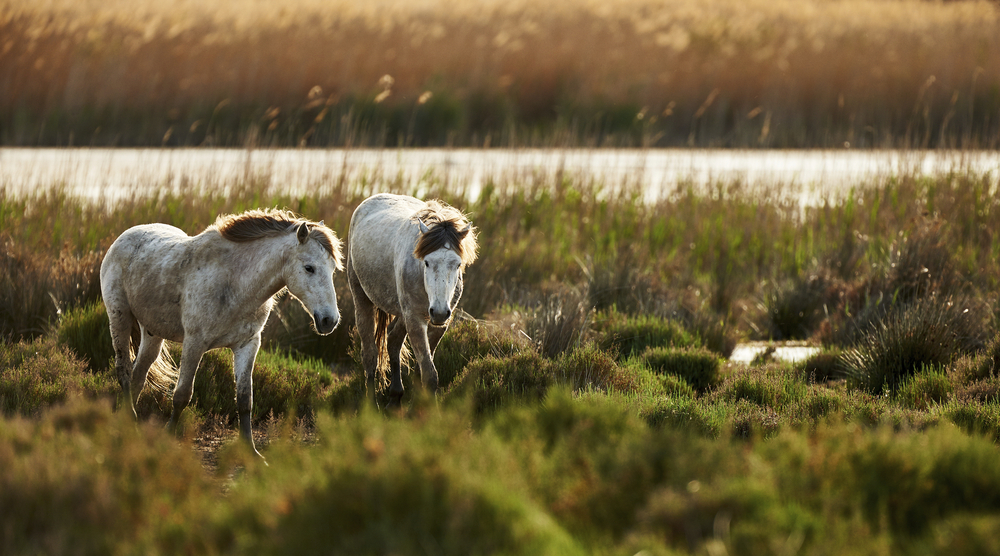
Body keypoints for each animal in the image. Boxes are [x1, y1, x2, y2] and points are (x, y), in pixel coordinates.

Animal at [101, 208, 344, 456]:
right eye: (309, 268)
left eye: (332, 269)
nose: (329, 320)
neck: (235, 281)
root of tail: (124, 237)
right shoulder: (194, 342)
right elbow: (182, 395)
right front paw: (167, 441)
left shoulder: (247, 345)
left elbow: (245, 400)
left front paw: (252, 453)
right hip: (119, 318)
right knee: (124, 371)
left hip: (153, 333)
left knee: (139, 376)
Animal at [348, 193, 480, 406]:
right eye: (426, 262)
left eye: (458, 264)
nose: (439, 312)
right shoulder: (415, 321)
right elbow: (429, 374)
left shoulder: (438, 325)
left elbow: (424, 370)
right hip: (363, 300)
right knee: (370, 354)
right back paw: (371, 405)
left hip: (403, 313)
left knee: (393, 341)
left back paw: (395, 396)